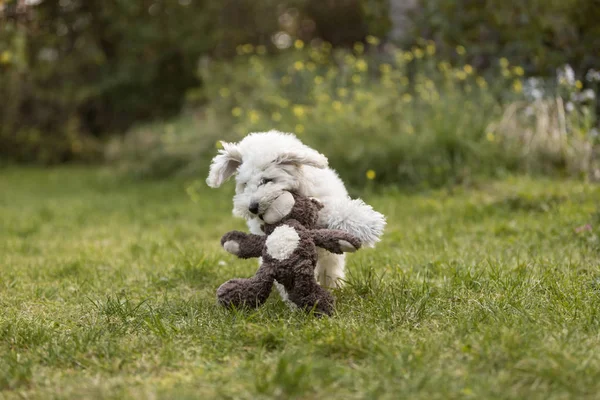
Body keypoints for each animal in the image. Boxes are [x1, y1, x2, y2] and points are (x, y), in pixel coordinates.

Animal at [206, 130, 384, 294]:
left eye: (267, 180)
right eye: (244, 184)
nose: (253, 208)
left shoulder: (324, 206)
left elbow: (341, 215)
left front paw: (370, 224)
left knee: (330, 265)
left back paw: (333, 285)